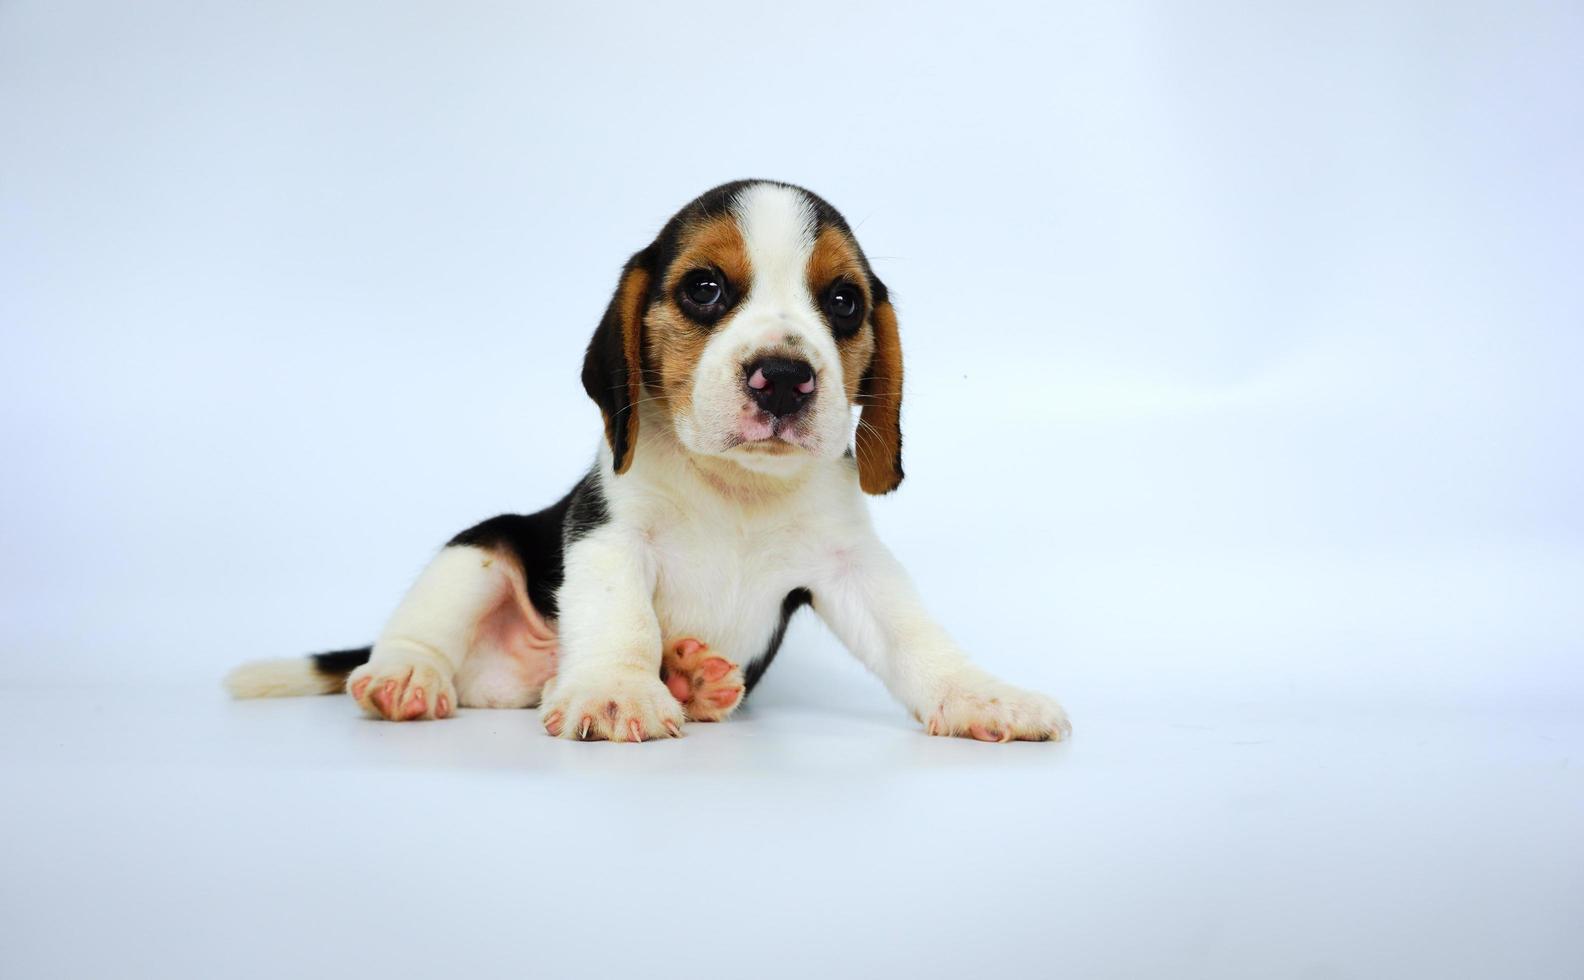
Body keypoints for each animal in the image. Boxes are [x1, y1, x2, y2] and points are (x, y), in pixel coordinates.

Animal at [226, 180, 1077, 744]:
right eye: (704, 287)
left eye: (843, 301)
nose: (783, 377)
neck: (738, 489)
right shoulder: (608, 535)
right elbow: (620, 617)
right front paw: (616, 689)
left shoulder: (854, 566)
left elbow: (916, 636)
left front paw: (982, 696)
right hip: (477, 551)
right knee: (420, 631)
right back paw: (406, 677)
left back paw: (693, 680)